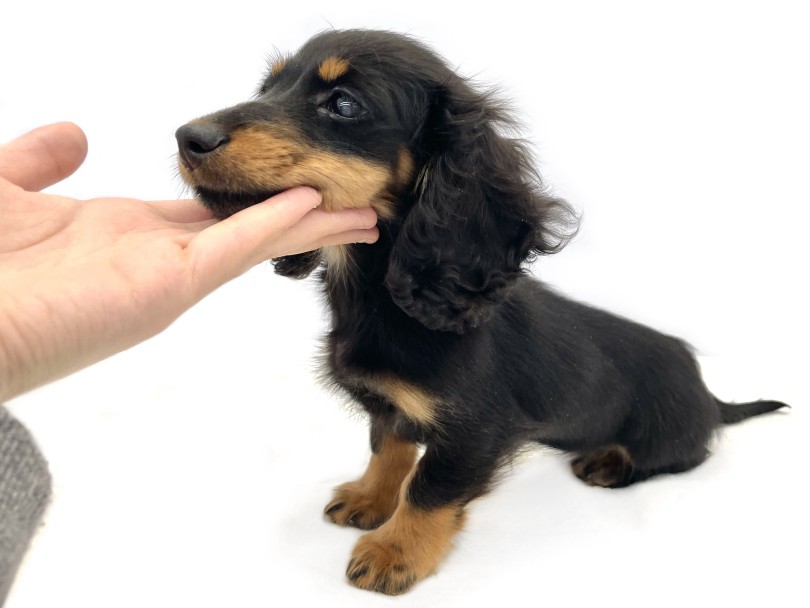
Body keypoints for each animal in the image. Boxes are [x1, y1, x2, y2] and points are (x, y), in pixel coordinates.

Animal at [175, 29, 789, 595]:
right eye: (268, 86)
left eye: (344, 104)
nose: (187, 137)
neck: (384, 299)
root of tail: (709, 393)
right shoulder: (393, 409)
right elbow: (388, 448)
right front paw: (370, 498)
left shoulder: (476, 429)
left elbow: (429, 488)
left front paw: (395, 552)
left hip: (670, 435)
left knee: (688, 454)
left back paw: (612, 462)